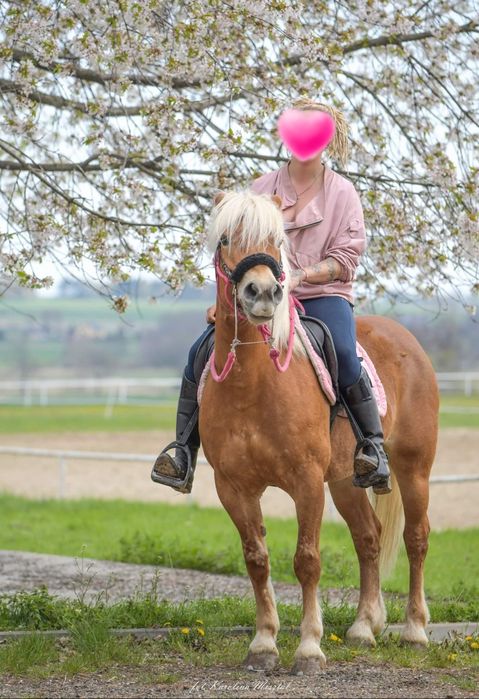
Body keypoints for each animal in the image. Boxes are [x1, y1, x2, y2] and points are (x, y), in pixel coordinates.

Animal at [198, 189, 438, 676]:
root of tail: (406, 338)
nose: (263, 292)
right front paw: (263, 645)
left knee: (415, 538)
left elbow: (306, 560)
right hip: (346, 480)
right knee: (369, 538)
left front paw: (309, 648)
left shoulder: (306, 482)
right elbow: (257, 560)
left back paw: (415, 632)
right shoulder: (232, 487)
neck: (253, 384)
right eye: (227, 238)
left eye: (277, 238)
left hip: (413, 469)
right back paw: (365, 627)